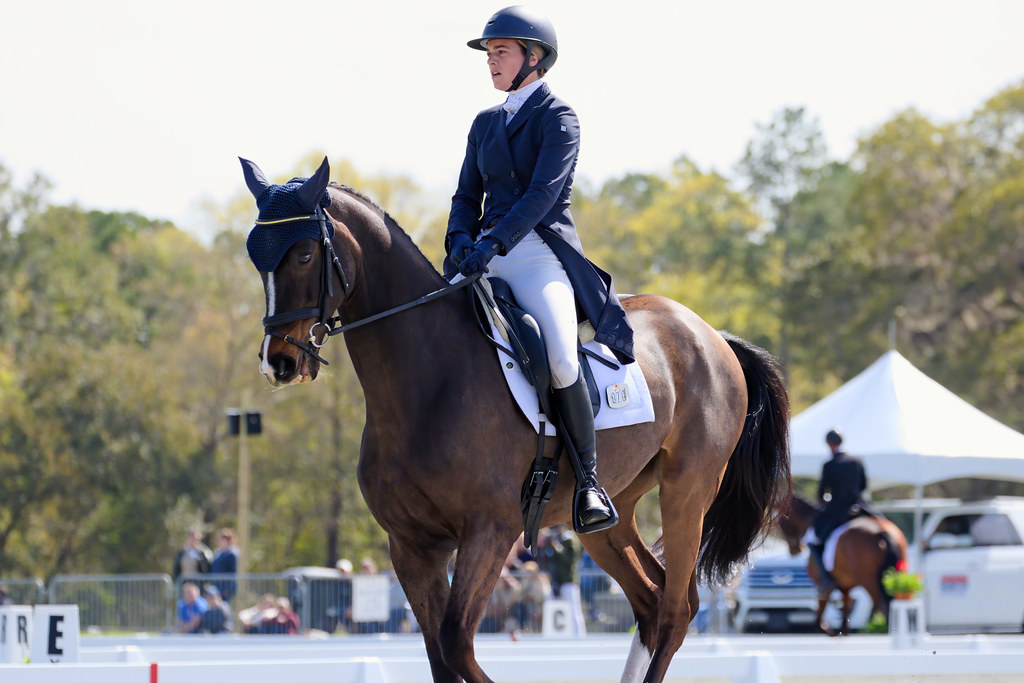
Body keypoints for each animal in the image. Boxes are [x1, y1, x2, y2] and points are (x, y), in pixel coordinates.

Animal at [240, 157, 790, 683]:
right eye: (254, 257)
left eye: (305, 255)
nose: (278, 363)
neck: (427, 383)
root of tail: (710, 333)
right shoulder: (411, 546)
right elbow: (440, 656)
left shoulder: (490, 531)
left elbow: (455, 644)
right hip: (609, 514)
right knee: (652, 602)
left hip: (687, 492)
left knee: (677, 610)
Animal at [777, 493, 907, 635]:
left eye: (781, 521)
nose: (795, 550)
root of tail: (881, 531)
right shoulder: (846, 588)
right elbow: (844, 621)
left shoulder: (822, 588)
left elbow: (819, 621)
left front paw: (832, 632)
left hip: (871, 584)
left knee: (885, 610)